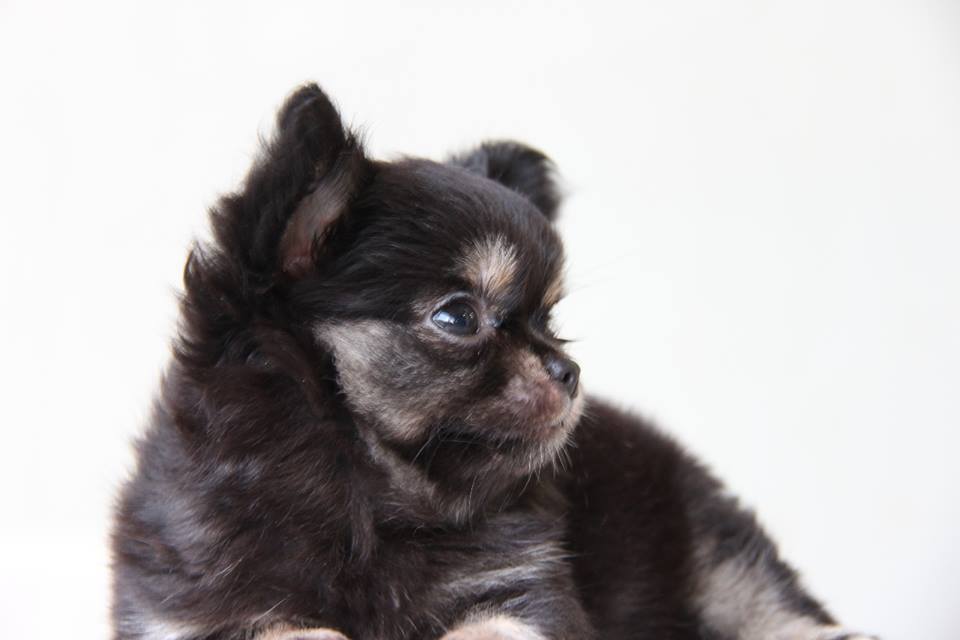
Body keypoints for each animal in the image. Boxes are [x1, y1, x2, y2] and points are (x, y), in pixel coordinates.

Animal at [111, 84, 875, 640]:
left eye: (551, 322)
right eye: (458, 317)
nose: (568, 373)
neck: (372, 508)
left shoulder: (522, 590)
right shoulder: (189, 609)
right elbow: (286, 629)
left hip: (711, 546)